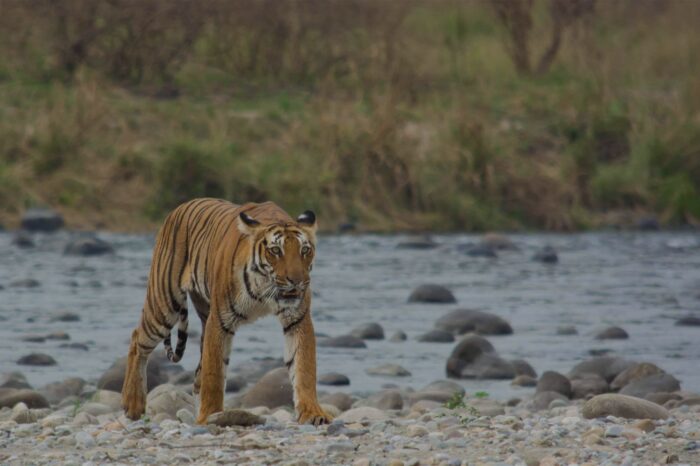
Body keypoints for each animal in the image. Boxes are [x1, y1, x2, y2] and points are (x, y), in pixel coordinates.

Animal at [121, 198, 332, 424]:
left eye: (305, 250)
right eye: (276, 251)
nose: (297, 281)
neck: (265, 288)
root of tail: (179, 207)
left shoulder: (297, 319)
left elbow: (304, 367)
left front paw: (313, 413)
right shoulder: (220, 320)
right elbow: (214, 374)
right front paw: (209, 415)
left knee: (198, 366)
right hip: (165, 304)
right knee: (137, 339)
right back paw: (132, 404)